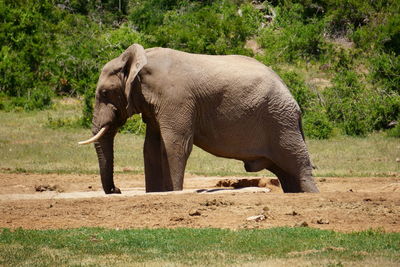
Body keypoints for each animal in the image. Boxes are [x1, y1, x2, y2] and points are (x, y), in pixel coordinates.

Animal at [78, 44, 318, 195]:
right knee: (287, 172)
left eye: (105, 93)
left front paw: (174, 192)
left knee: (297, 164)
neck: (141, 60)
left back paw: (311, 195)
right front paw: (155, 192)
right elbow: (151, 148)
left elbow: (176, 145)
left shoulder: (176, 99)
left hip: (280, 120)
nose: (116, 190)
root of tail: (293, 99)